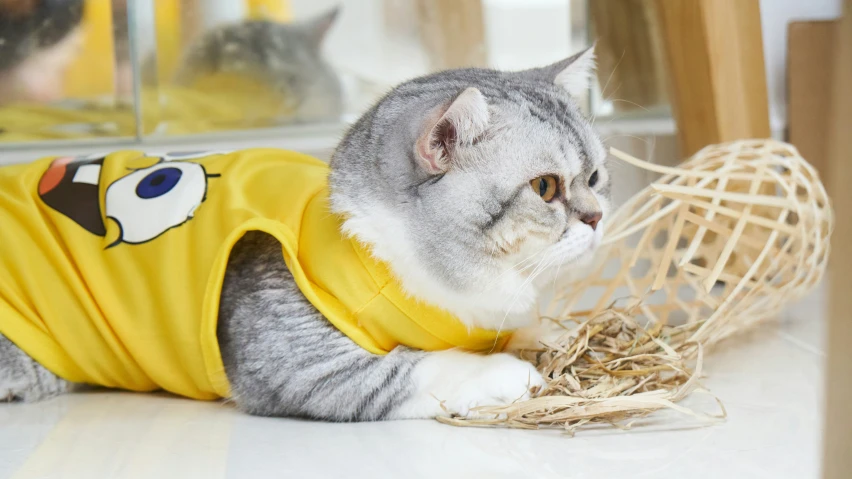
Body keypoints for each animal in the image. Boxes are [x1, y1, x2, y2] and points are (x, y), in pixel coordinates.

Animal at [1, 46, 612, 420]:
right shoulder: (298, 364)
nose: (597, 217)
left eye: (595, 177)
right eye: (546, 188)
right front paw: (511, 373)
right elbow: (416, 370)